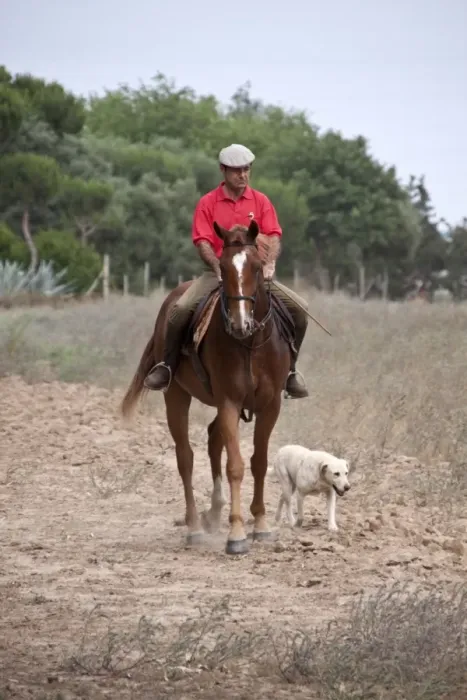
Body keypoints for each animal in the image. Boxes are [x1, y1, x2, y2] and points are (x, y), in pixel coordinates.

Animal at [120, 220, 292, 555]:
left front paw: (261, 525)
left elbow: (260, 462)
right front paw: (237, 534)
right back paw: (195, 528)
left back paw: (213, 512)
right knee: (185, 457)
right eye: (222, 267)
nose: (240, 323)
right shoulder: (229, 402)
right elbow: (235, 465)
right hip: (176, 396)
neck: (250, 344)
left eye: (257, 266)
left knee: (213, 440)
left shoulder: (270, 406)